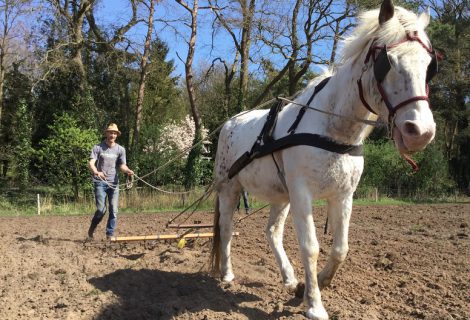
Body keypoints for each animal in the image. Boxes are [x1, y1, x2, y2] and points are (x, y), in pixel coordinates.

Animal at [209, 1, 436, 318]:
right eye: (387, 63)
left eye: (429, 66)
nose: (421, 132)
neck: (333, 130)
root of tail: (230, 122)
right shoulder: (302, 193)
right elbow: (311, 247)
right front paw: (314, 305)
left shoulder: (343, 195)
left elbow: (341, 248)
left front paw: (313, 284)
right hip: (230, 188)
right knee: (228, 229)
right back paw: (228, 274)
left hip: (281, 196)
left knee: (272, 232)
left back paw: (289, 278)